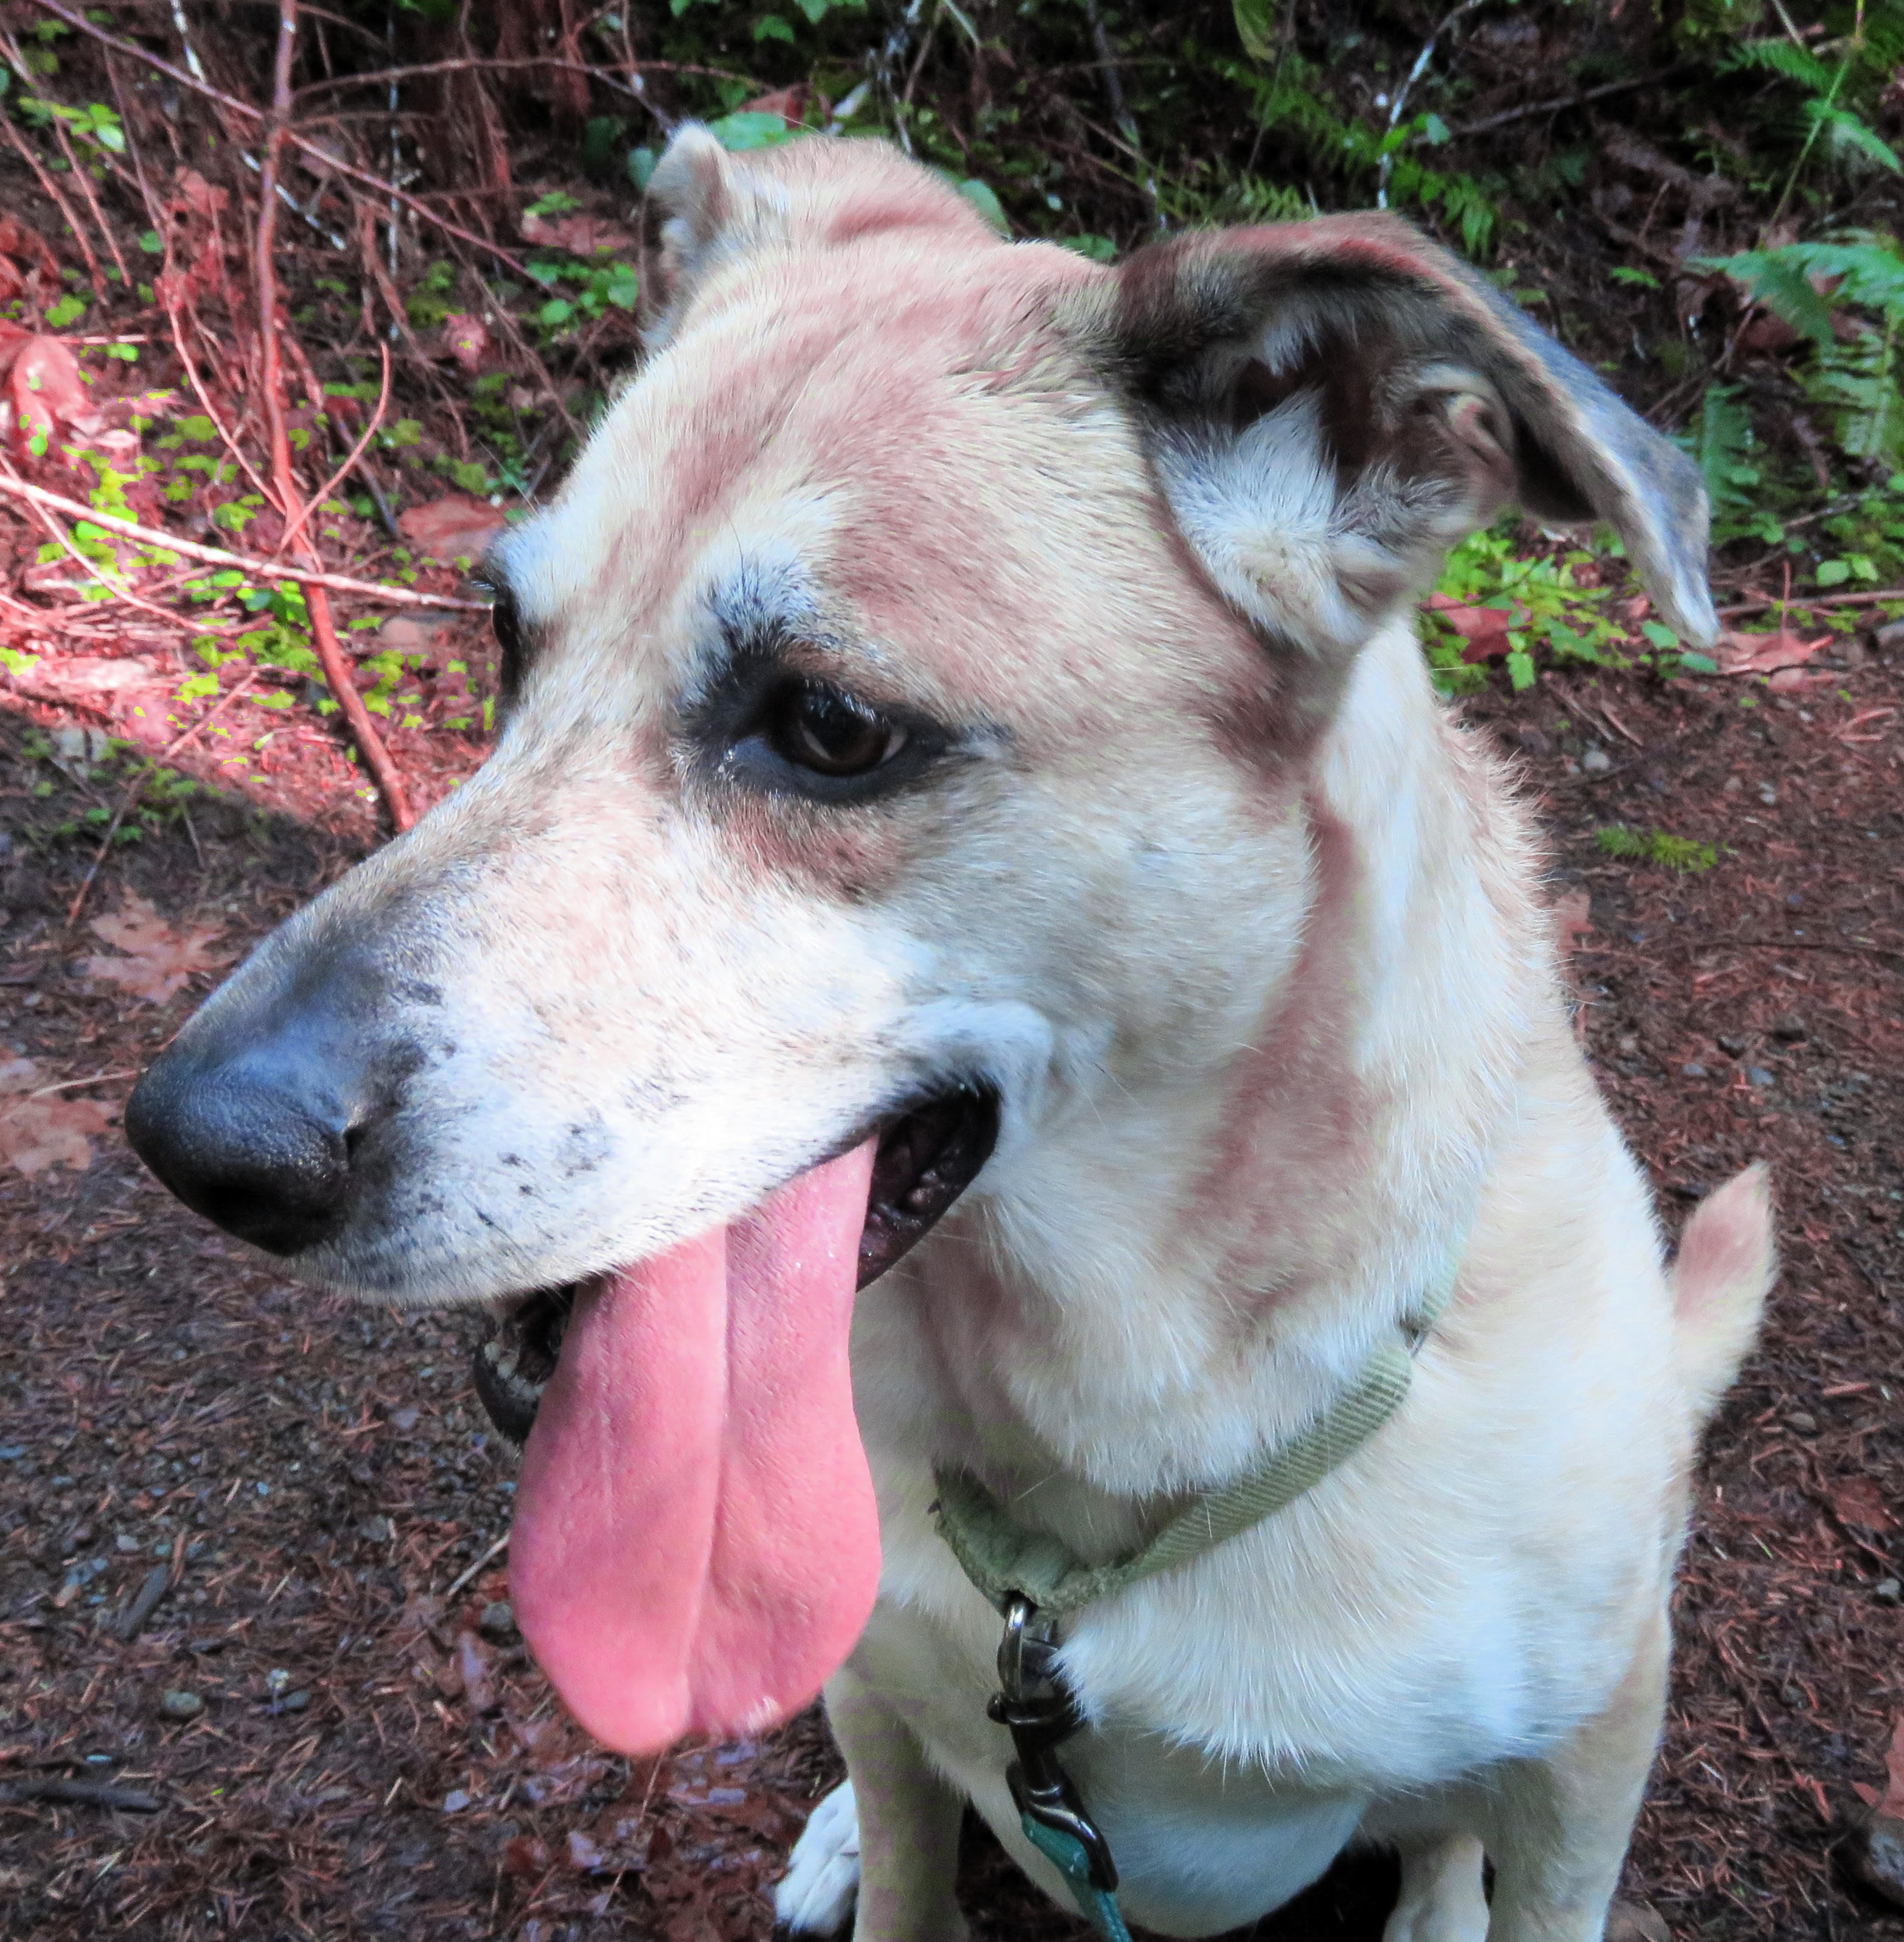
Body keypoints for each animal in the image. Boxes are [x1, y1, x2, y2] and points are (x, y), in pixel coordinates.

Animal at [126, 125, 1777, 1942]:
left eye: (835, 727)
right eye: (506, 632)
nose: (199, 1144)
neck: (1105, 1481)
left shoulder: (1593, 1748)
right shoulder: (888, 1681)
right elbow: (911, 1846)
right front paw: (865, 1844)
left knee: (1435, 1835)